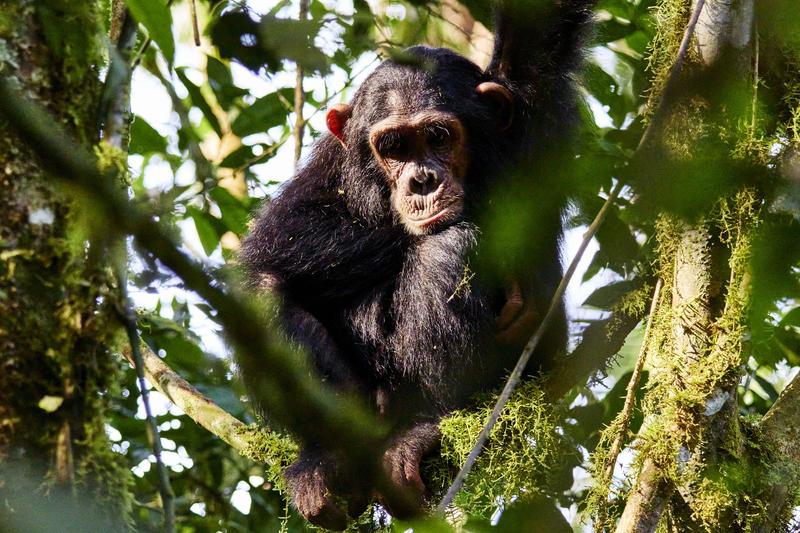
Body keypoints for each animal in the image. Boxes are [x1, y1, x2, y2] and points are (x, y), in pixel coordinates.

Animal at [241, 0, 592, 524]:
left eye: (437, 136)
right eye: (393, 147)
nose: (421, 180)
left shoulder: (533, 105)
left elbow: (541, 25)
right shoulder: (331, 166)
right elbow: (278, 242)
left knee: (448, 247)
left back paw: (427, 431)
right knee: (261, 293)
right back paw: (330, 461)